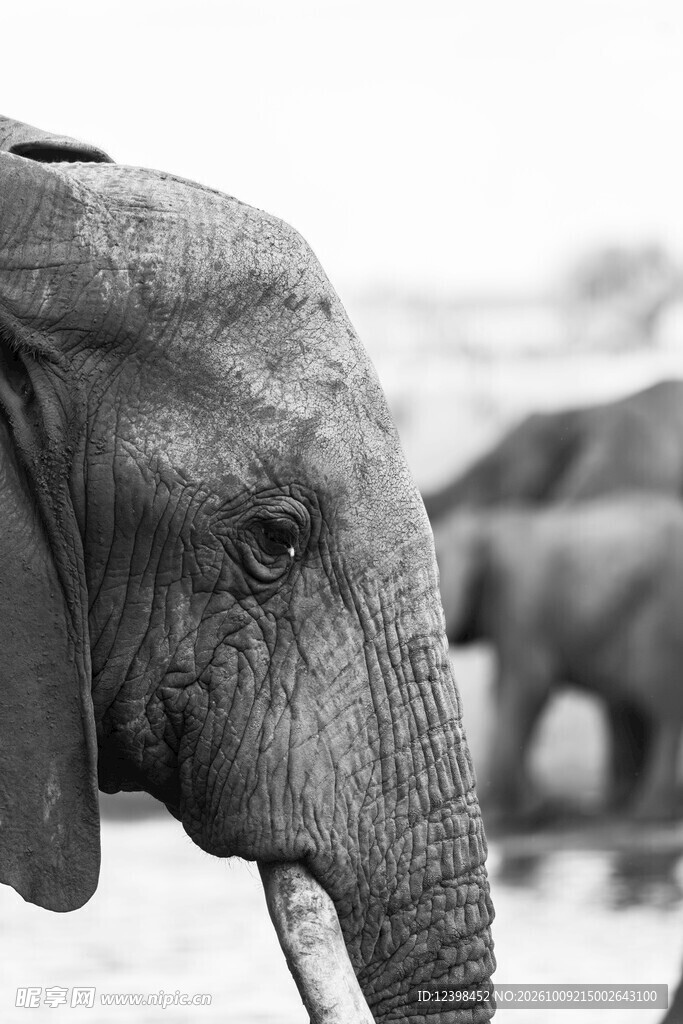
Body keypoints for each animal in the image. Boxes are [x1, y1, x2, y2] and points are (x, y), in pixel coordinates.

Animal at [432, 495, 683, 821]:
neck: (489, 523)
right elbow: (503, 690)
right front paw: (535, 808)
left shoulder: (521, 603)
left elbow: (529, 686)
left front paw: (511, 814)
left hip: (663, 618)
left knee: (663, 705)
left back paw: (650, 812)